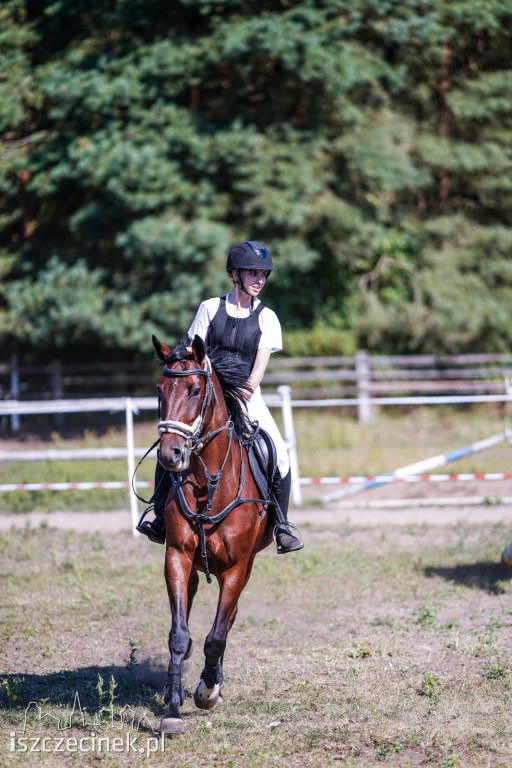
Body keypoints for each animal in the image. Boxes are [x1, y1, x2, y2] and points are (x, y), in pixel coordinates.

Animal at [150, 332, 274, 736]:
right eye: (160, 389)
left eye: (194, 389)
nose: (171, 455)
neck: (209, 482)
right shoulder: (176, 555)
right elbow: (179, 635)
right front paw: (173, 710)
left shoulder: (236, 568)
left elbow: (217, 637)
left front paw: (207, 692)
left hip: (244, 567)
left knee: (227, 620)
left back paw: (213, 682)